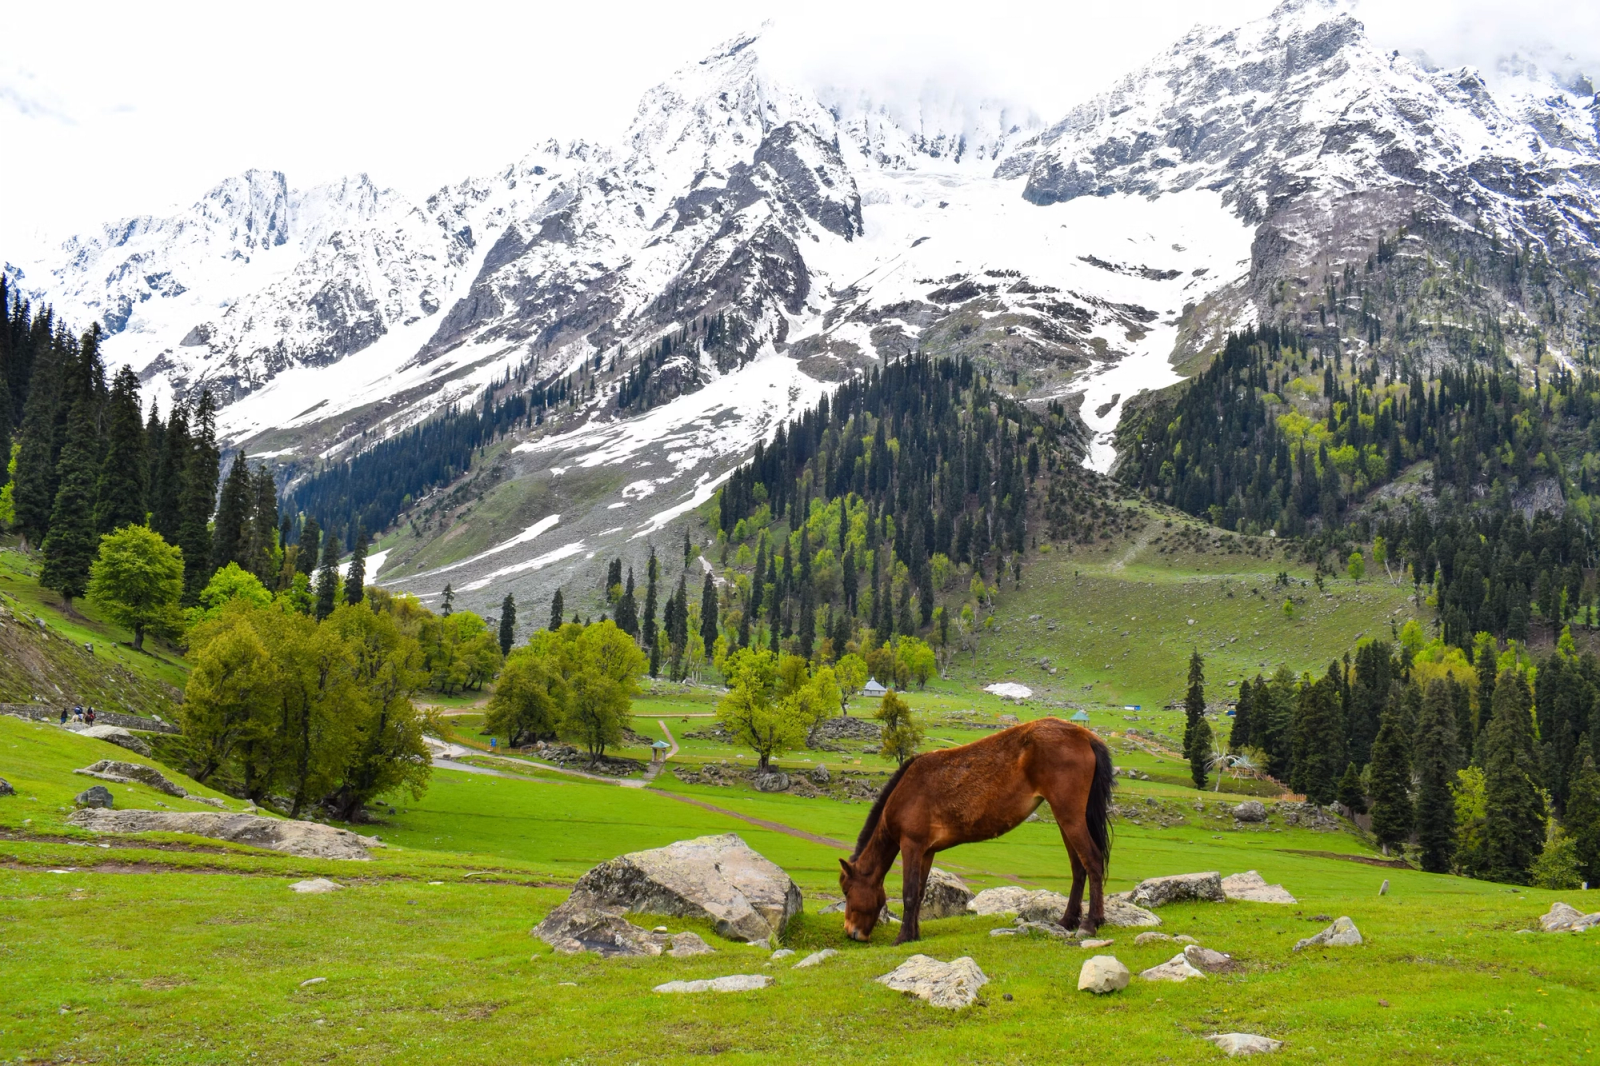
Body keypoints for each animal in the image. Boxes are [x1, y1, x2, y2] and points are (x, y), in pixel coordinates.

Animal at [838, 717, 1113, 943]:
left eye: (847, 890)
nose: (851, 932)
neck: (905, 791)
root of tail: (1085, 736)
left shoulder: (911, 845)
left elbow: (909, 893)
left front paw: (902, 937)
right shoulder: (927, 852)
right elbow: (919, 892)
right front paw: (914, 935)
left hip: (1069, 816)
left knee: (1092, 860)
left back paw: (1091, 923)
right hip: (1065, 819)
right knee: (1078, 867)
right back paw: (1067, 920)